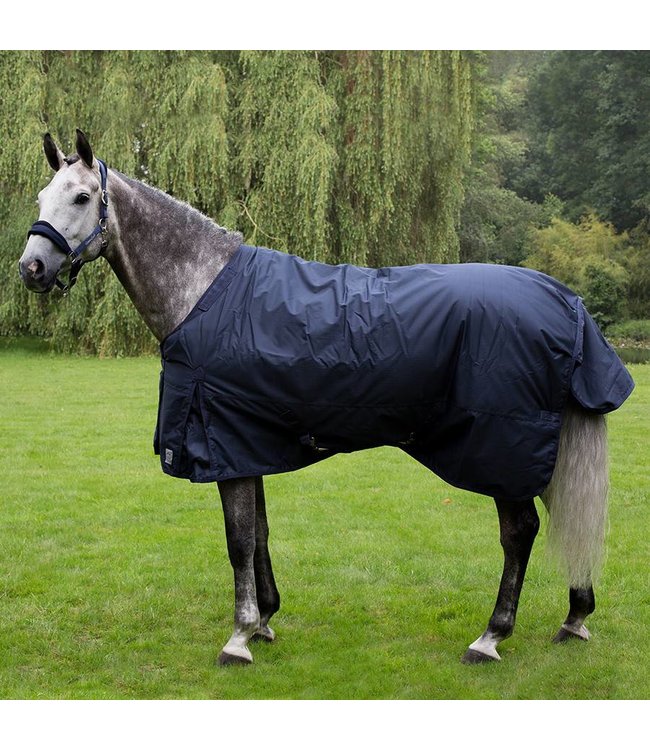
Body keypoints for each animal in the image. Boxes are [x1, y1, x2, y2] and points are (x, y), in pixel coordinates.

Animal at [18, 130, 634, 666]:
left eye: (81, 197)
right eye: (42, 197)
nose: (32, 268)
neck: (204, 290)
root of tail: (566, 302)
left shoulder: (223, 443)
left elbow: (238, 540)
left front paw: (238, 637)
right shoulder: (247, 445)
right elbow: (259, 534)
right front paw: (265, 622)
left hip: (503, 449)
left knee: (520, 533)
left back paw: (491, 636)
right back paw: (575, 617)